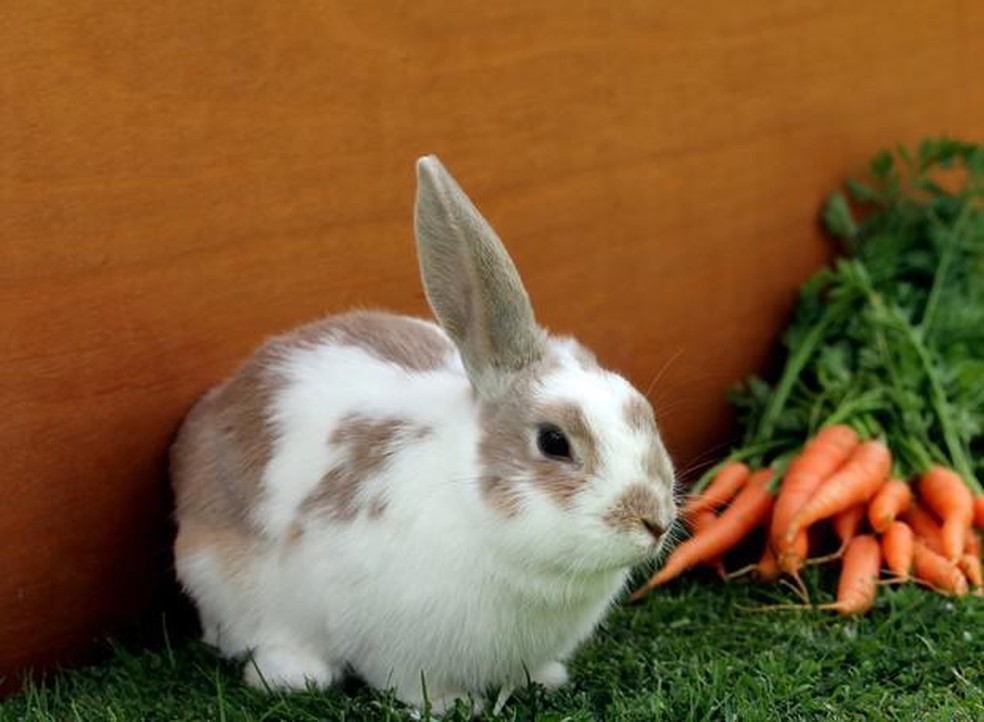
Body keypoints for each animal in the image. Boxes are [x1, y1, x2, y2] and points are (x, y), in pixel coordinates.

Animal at [170, 155, 677, 715]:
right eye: (553, 442)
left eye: (641, 409)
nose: (655, 520)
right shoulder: (393, 641)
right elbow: (413, 680)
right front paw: (451, 705)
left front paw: (545, 679)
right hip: (222, 580)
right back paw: (295, 673)